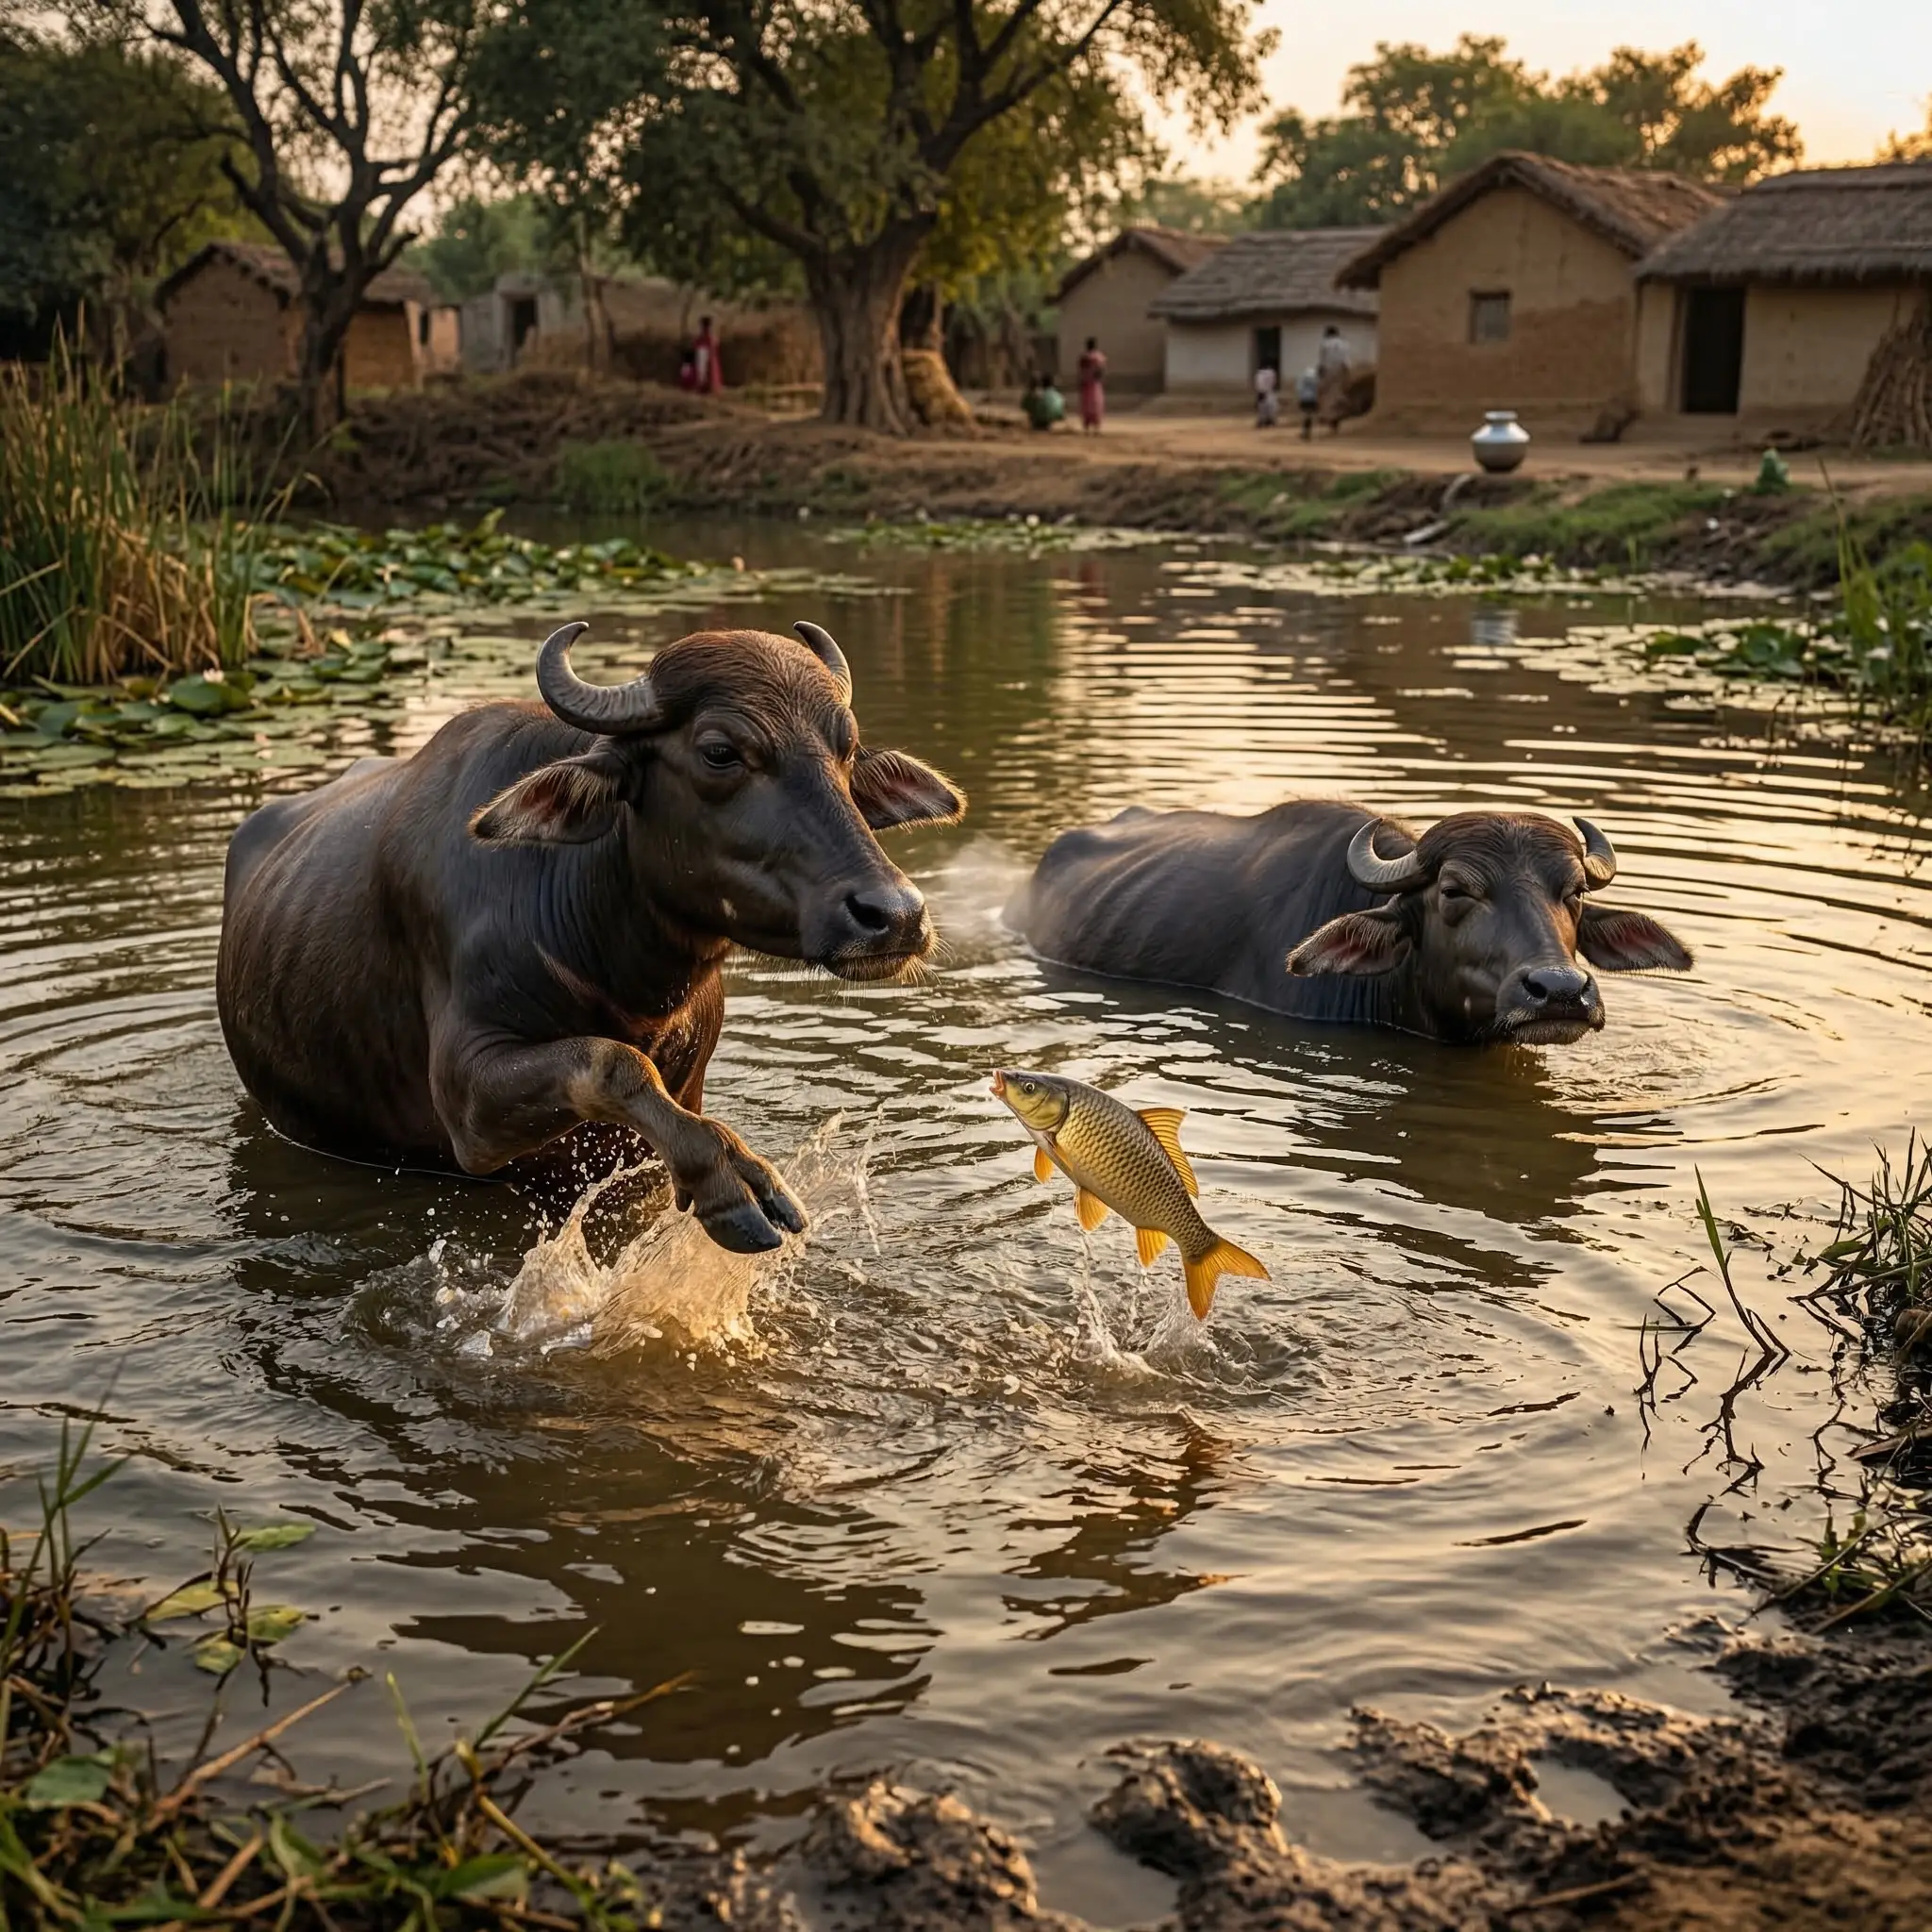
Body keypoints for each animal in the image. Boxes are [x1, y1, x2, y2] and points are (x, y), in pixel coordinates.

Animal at [217, 620, 963, 1251]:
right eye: (720, 752)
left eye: (847, 749)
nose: (894, 914)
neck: (624, 976)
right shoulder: (470, 1108)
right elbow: (613, 1062)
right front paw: (732, 1178)